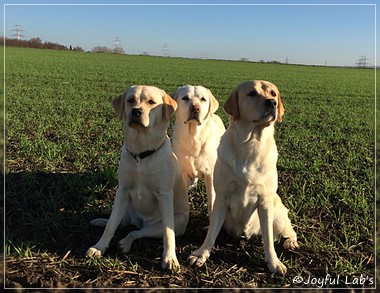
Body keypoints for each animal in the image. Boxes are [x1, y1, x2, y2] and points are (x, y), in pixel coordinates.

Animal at [84, 84, 189, 272]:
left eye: (151, 102)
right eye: (130, 100)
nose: (136, 111)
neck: (141, 153)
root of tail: (139, 221)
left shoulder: (164, 195)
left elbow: (168, 233)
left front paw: (170, 258)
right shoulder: (123, 191)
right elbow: (112, 225)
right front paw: (99, 247)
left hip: (174, 222)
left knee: (137, 232)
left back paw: (125, 242)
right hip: (126, 206)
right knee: (122, 222)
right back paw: (101, 222)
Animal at [172, 84, 226, 214]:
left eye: (203, 99)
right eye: (185, 98)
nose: (195, 108)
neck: (193, 136)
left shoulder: (210, 174)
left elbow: (212, 201)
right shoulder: (183, 172)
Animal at [189, 79, 298, 274]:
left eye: (273, 93)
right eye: (252, 93)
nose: (272, 103)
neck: (251, 143)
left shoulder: (265, 202)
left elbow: (268, 239)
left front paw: (273, 262)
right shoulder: (222, 198)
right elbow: (211, 234)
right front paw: (201, 254)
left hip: (278, 213)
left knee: (288, 230)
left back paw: (291, 242)